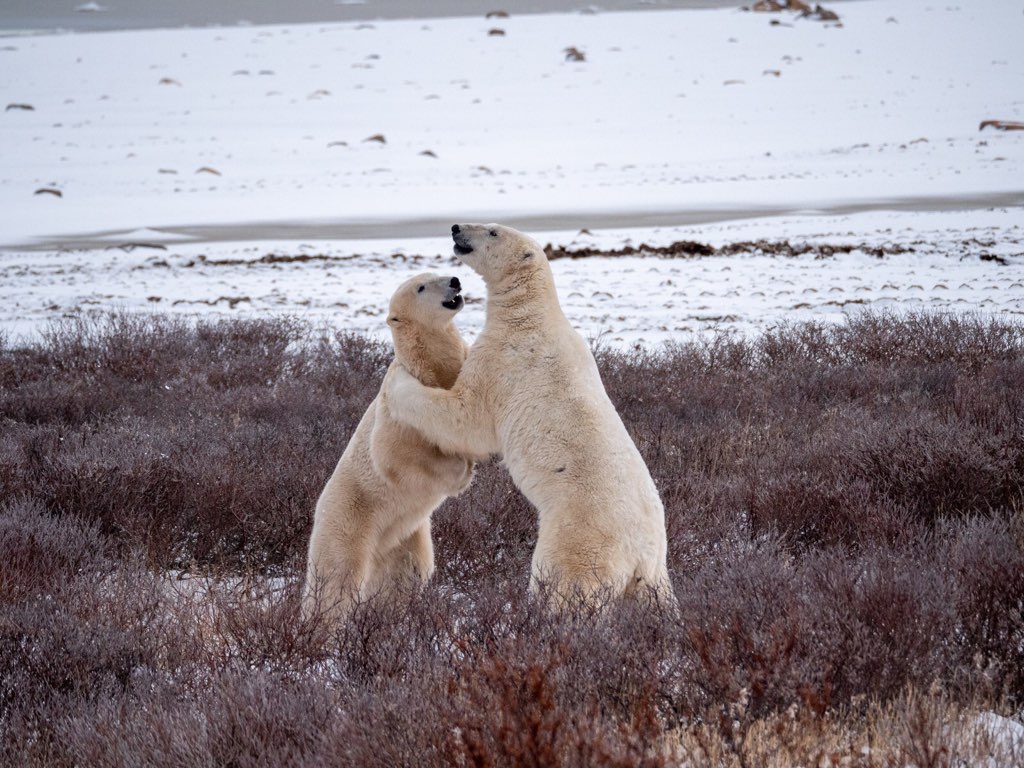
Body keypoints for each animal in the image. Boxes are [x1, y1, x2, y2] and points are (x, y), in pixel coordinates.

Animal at [302, 273, 477, 623]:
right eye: (421, 287)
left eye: (438, 271)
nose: (455, 280)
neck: (431, 370)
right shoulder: (396, 408)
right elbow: (393, 456)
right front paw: (460, 471)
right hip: (348, 519)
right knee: (336, 578)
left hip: (405, 536)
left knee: (406, 573)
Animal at [384, 224, 674, 609]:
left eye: (493, 231)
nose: (456, 228)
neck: (530, 314)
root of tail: (640, 553)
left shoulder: (503, 360)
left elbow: (468, 420)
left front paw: (398, 383)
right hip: (656, 575)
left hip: (578, 536)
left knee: (565, 586)